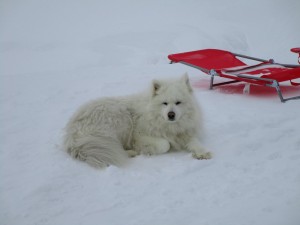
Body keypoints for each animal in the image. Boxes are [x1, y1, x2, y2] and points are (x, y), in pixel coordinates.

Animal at [63, 74, 211, 167]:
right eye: (165, 103)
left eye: (178, 102)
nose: (171, 115)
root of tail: (71, 133)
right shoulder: (139, 136)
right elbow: (165, 144)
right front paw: (145, 150)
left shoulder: (184, 133)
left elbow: (195, 142)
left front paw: (202, 152)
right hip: (119, 120)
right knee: (113, 147)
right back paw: (130, 153)